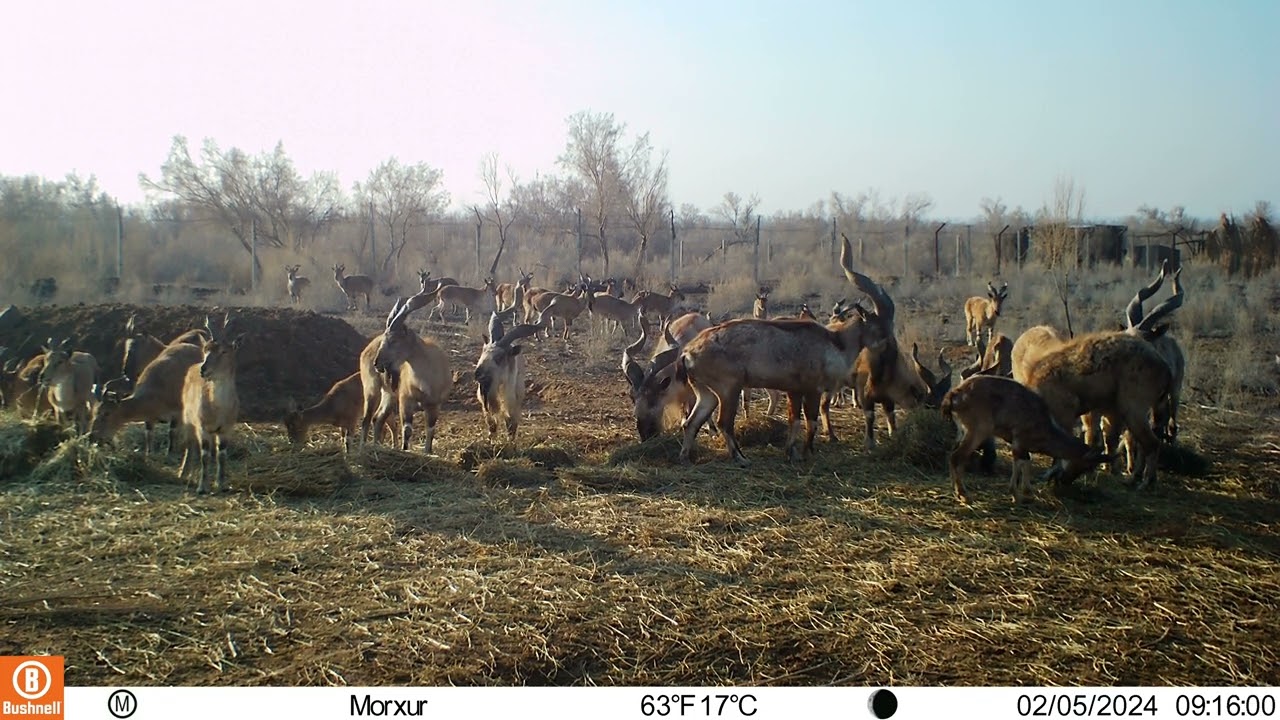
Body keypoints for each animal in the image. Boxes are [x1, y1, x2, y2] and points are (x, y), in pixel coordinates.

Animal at [179, 314, 244, 493]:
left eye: (224, 351)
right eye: (205, 350)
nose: (204, 369)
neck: (219, 410)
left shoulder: (227, 427)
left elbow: (222, 455)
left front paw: (221, 484)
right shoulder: (203, 426)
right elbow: (204, 455)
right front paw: (202, 486)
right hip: (187, 418)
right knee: (189, 445)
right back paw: (183, 473)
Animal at [373, 291, 453, 453]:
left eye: (394, 340)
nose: (377, 363)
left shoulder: (434, 406)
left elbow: (430, 430)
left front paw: (428, 452)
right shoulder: (405, 402)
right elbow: (407, 430)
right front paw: (404, 450)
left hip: (388, 396)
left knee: (379, 418)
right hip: (387, 394)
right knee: (378, 418)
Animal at [474, 309, 545, 442]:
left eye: (500, 357)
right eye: (483, 351)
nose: (478, 374)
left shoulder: (513, 404)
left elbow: (511, 425)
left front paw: (510, 442)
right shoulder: (485, 402)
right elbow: (492, 424)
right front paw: (491, 441)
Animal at [677, 237, 925, 465]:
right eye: (882, 329)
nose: (892, 352)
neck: (835, 341)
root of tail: (688, 352)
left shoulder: (794, 391)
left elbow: (794, 419)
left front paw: (792, 451)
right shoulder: (813, 389)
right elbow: (811, 420)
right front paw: (808, 452)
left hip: (707, 393)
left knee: (691, 422)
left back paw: (687, 456)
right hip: (729, 389)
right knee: (723, 423)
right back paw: (740, 457)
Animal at [942, 375, 1111, 504]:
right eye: (1085, 465)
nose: (1065, 481)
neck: (1045, 429)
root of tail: (953, 396)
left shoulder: (1021, 444)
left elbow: (1027, 461)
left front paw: (1028, 492)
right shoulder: (1018, 440)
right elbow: (1019, 462)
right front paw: (1016, 495)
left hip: (963, 430)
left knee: (953, 455)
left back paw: (956, 490)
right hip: (979, 430)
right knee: (957, 456)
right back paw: (964, 495)